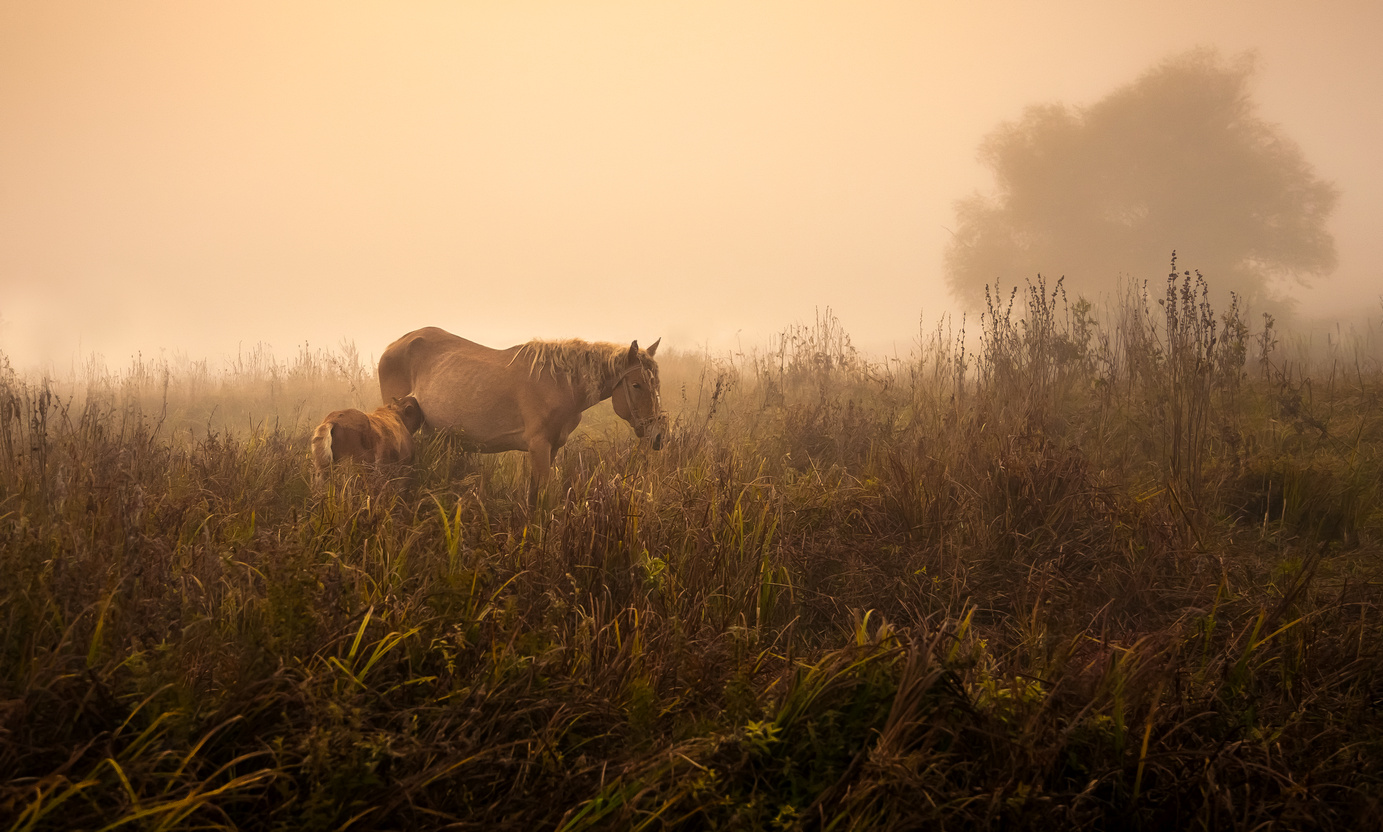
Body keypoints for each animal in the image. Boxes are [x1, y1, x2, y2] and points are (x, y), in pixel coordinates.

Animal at [378, 327, 669, 503]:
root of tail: (392, 345)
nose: (658, 436)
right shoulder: (538, 446)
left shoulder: (552, 448)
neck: (559, 383)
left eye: (657, 383)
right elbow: (542, 497)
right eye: (637, 385)